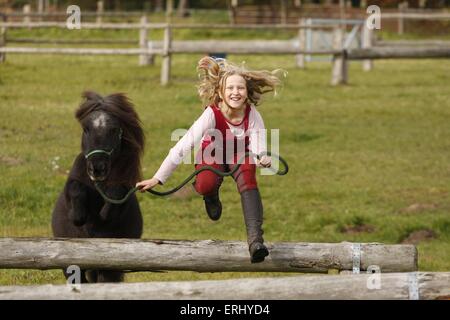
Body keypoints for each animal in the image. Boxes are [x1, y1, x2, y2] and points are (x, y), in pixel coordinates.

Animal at [52, 90, 145, 282]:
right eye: (86, 129)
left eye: (114, 129)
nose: (97, 168)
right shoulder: (73, 185)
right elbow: (75, 189)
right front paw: (78, 217)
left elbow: (116, 195)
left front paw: (102, 214)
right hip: (71, 267)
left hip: (108, 268)